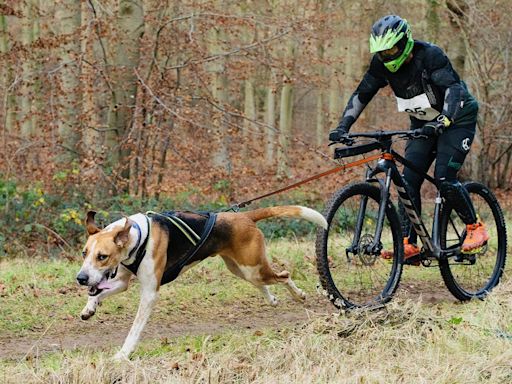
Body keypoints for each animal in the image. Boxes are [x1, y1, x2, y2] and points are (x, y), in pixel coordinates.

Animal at [75, 206, 326, 358]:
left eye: (102, 256)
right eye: (84, 253)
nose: (81, 278)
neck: (138, 236)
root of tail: (244, 216)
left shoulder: (149, 293)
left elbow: (134, 329)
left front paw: (123, 354)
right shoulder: (122, 281)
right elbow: (98, 293)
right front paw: (89, 308)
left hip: (252, 268)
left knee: (284, 275)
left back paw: (298, 295)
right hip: (240, 269)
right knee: (264, 282)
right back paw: (272, 298)